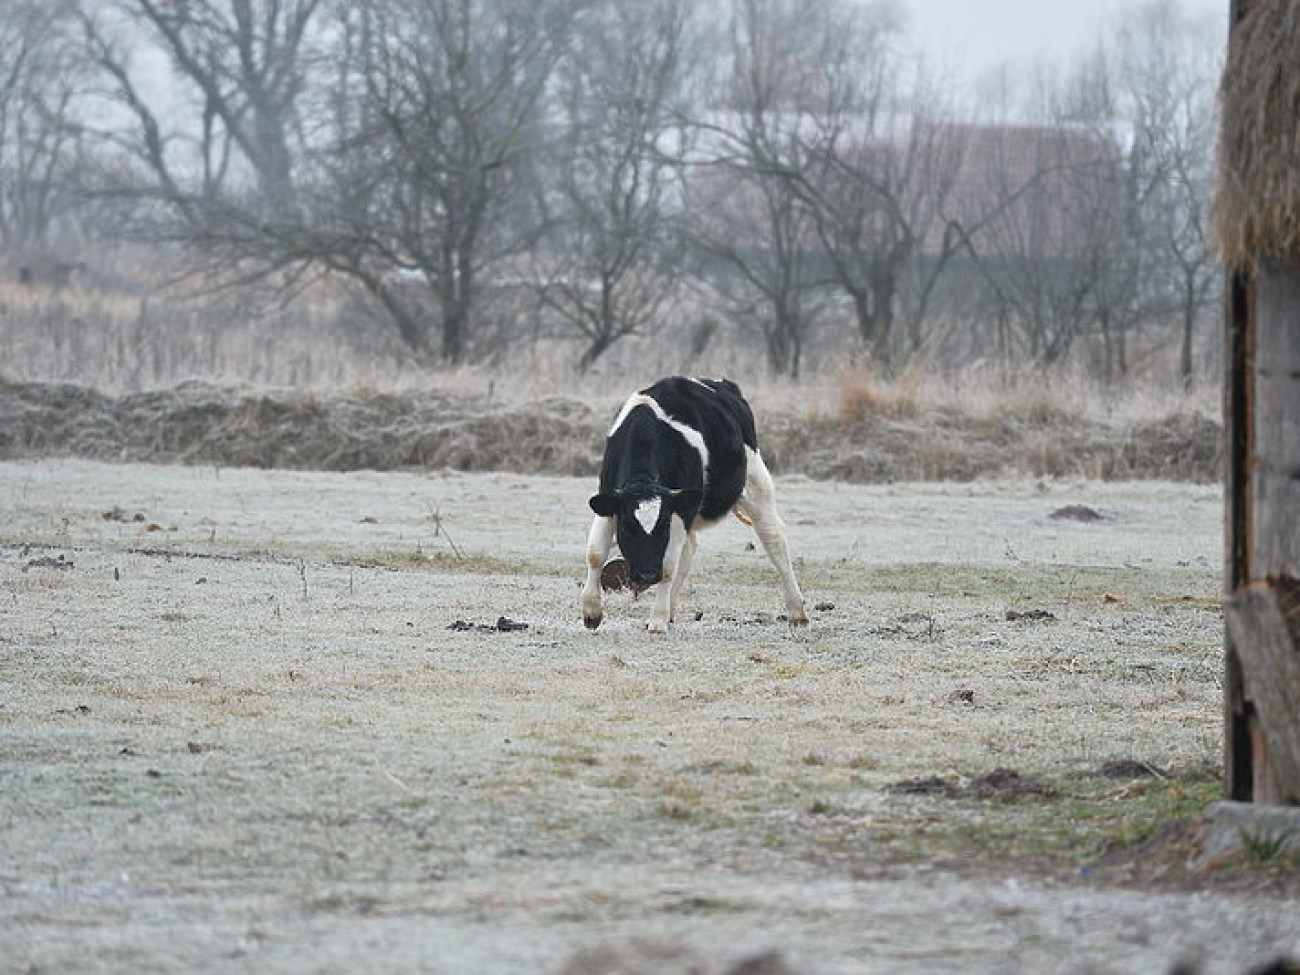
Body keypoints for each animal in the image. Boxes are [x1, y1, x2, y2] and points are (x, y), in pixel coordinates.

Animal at [577, 374, 800, 634]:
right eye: (627, 528)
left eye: (662, 527)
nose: (647, 575)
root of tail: (723, 384)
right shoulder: (610, 502)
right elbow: (595, 553)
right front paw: (591, 612)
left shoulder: (676, 513)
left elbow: (668, 565)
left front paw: (657, 620)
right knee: (688, 551)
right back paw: (671, 610)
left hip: (756, 480)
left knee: (774, 538)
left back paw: (797, 611)